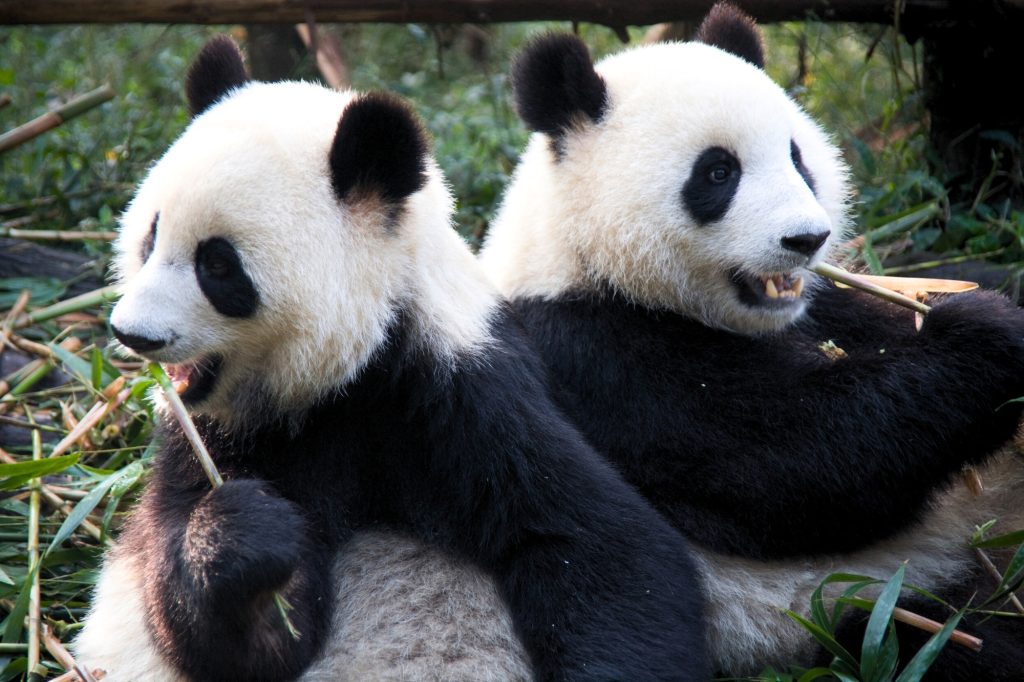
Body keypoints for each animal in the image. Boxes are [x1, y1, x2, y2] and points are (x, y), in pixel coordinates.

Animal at [72, 37, 710, 682]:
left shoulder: (459, 395)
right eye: (150, 238)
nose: (133, 334)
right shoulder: (220, 437)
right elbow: (219, 630)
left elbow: (603, 548)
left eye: (218, 265)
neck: (347, 374)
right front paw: (244, 534)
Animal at [479, 3, 1024, 678]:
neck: (583, 257)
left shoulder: (828, 308)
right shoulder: (592, 356)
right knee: (957, 637)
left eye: (797, 157)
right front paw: (989, 335)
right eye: (719, 172)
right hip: (860, 614)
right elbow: (795, 460)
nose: (807, 240)